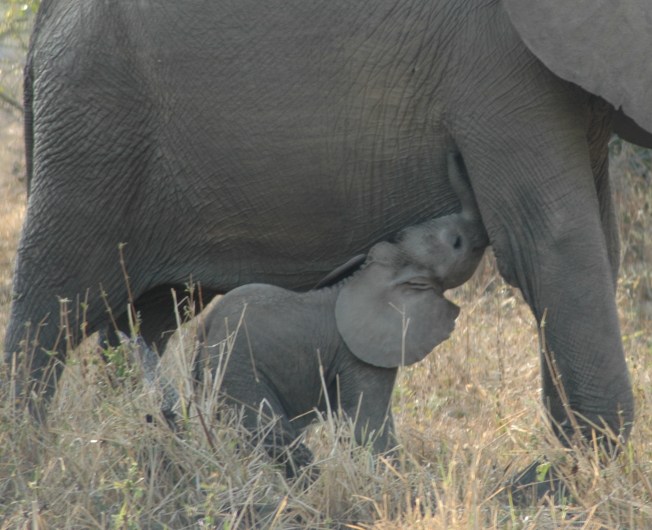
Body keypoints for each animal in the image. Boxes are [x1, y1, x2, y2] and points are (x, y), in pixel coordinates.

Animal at [4, 0, 651, 496]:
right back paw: (32, 465)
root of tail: (41, 29)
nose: (451, 154)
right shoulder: (498, 68)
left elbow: (596, 243)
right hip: (93, 129)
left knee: (139, 323)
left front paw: (557, 473)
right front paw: (552, 485)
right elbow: (552, 243)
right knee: (50, 310)